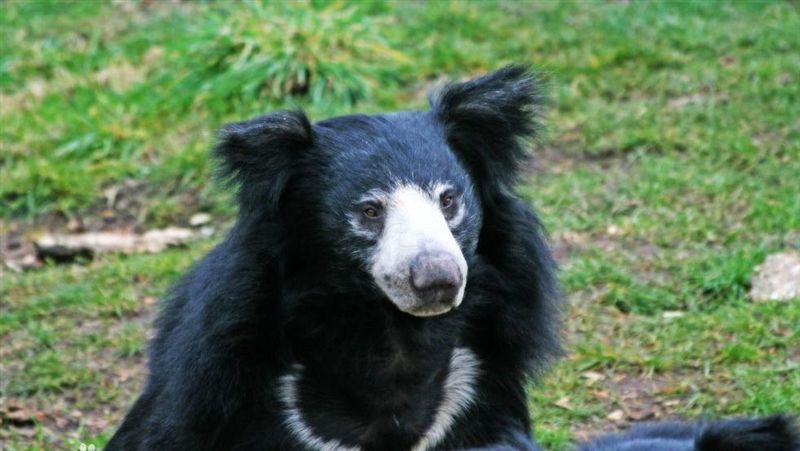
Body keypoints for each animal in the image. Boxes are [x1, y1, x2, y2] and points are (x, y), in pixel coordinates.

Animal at [107, 66, 797, 450]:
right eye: (369, 210)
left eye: (449, 200)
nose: (436, 277)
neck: (389, 336)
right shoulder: (221, 373)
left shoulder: (479, 393)